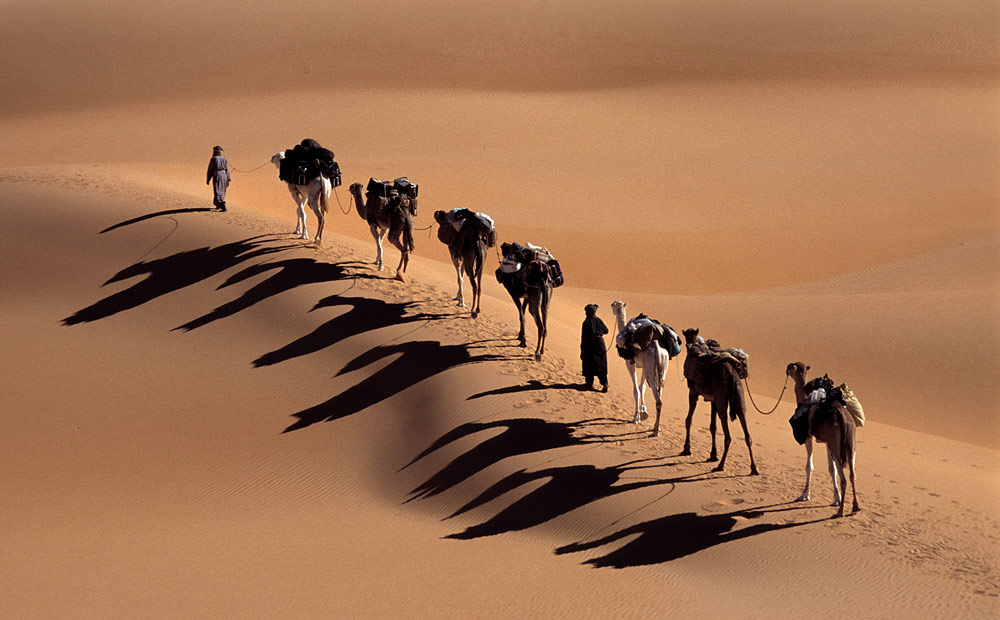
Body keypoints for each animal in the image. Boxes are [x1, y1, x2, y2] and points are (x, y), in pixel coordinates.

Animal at [608, 300, 672, 436]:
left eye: (614, 304)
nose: (612, 306)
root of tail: (658, 352)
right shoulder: (643, 367)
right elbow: (642, 387)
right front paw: (643, 413)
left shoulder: (630, 363)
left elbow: (636, 390)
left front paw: (636, 417)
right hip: (662, 370)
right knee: (660, 392)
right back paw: (656, 427)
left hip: (652, 371)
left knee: (658, 400)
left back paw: (655, 431)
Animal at [680, 330, 756, 474]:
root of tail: (732, 376)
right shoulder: (713, 399)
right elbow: (712, 427)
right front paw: (713, 455)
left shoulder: (693, 392)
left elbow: (688, 420)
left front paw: (686, 449)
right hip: (738, 398)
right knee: (747, 433)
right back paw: (754, 469)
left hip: (722, 399)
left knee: (728, 435)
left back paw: (720, 466)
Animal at [780, 360, 860, 516]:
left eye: (792, 366)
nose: (786, 368)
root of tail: (842, 418)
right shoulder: (827, 442)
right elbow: (831, 469)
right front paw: (836, 498)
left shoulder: (809, 437)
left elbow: (809, 466)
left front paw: (804, 495)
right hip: (850, 444)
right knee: (852, 474)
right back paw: (855, 507)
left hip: (837, 446)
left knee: (844, 478)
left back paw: (840, 512)